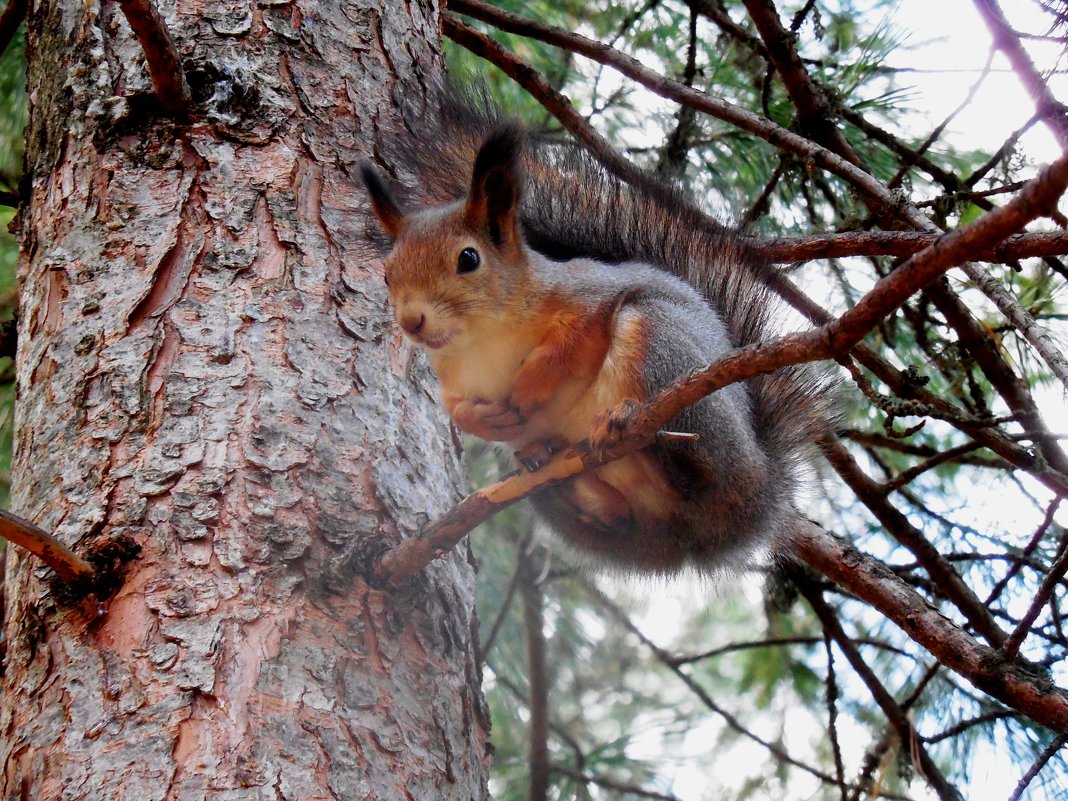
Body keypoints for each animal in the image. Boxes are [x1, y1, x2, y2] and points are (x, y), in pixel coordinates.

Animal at [358, 103, 824, 572]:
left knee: (699, 471)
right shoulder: (455, 382)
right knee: (616, 513)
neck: (481, 342)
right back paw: (549, 463)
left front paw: (529, 388)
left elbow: (572, 344)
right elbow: (457, 411)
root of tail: (759, 492)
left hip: (666, 350)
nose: (411, 321)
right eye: (388, 273)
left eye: (468, 258)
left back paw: (628, 425)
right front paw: (487, 419)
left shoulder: (589, 298)